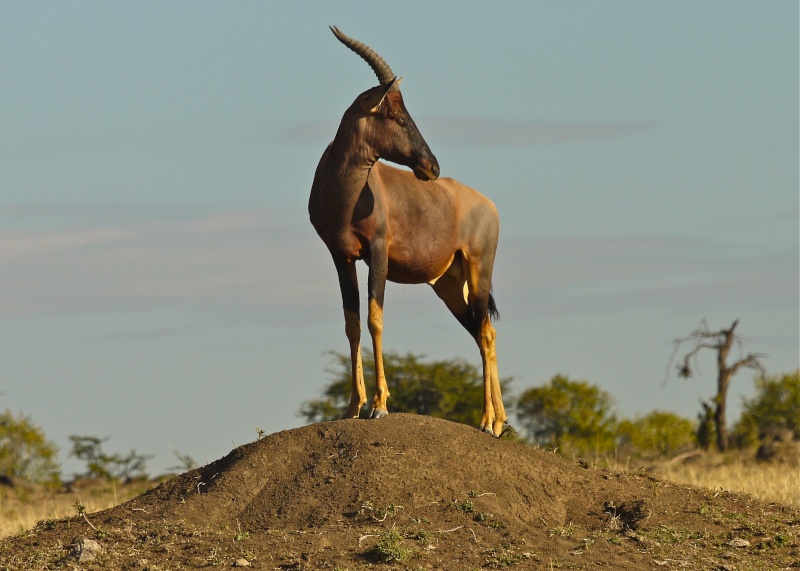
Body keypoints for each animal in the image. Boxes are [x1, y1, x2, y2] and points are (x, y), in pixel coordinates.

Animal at [308, 25, 506, 438]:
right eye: (396, 114)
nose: (431, 166)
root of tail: (487, 205)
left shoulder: (378, 253)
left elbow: (375, 318)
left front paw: (380, 406)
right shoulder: (341, 257)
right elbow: (352, 322)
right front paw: (352, 406)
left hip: (479, 271)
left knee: (485, 332)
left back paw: (488, 422)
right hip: (449, 286)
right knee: (481, 331)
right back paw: (500, 420)